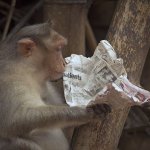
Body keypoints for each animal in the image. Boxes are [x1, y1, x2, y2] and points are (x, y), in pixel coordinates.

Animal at [0, 22, 110, 150]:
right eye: (58, 49)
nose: (64, 63)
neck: (28, 70)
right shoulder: (9, 80)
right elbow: (15, 119)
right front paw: (83, 111)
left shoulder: (46, 84)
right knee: (18, 142)